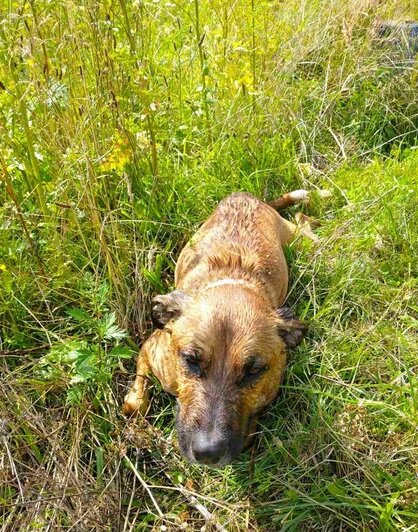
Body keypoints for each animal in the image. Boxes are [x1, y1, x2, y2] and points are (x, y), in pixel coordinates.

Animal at [124, 190, 316, 466]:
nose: (207, 453)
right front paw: (135, 400)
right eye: (190, 359)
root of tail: (249, 197)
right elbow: (136, 398)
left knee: (304, 221)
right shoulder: (152, 349)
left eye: (253, 371)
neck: (233, 280)